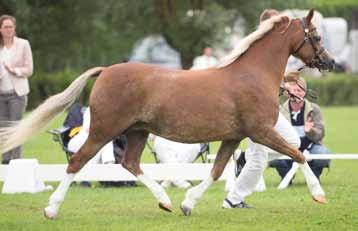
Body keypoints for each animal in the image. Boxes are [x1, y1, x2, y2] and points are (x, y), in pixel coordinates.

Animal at [0, 9, 332, 218]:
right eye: (316, 35)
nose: (329, 62)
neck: (252, 74)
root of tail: (106, 70)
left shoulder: (233, 137)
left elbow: (216, 171)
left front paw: (188, 204)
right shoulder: (261, 131)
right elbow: (298, 154)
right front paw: (319, 195)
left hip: (137, 131)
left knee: (130, 163)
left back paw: (166, 201)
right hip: (104, 130)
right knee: (77, 162)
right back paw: (51, 209)